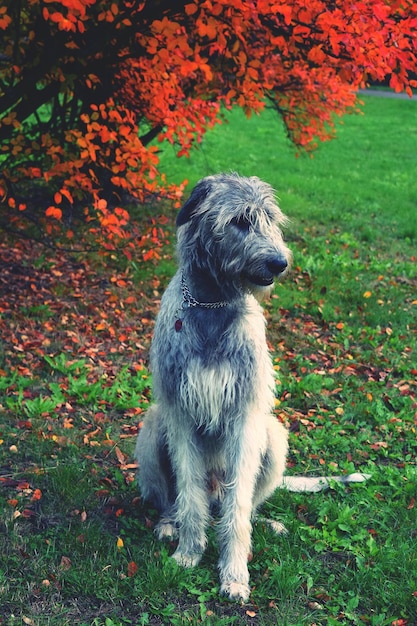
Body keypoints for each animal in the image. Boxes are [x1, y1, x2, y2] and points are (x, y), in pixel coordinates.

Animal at [133, 173, 368, 604]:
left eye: (271, 220)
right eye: (240, 221)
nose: (281, 262)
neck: (212, 304)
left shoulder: (246, 417)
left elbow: (238, 506)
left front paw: (234, 573)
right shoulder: (180, 414)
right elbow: (188, 491)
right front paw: (189, 553)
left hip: (273, 436)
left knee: (243, 502)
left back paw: (265, 524)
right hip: (153, 428)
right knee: (177, 497)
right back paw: (170, 523)